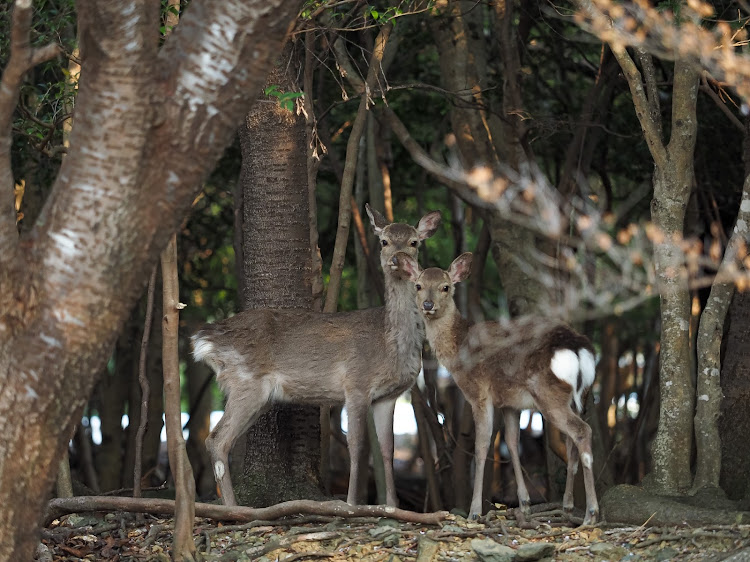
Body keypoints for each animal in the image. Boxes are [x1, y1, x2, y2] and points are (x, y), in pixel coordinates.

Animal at [191, 203, 444, 506]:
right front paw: (351, 503)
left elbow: (387, 449)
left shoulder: (389, 396)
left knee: (220, 439)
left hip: (257, 394)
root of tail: (206, 339)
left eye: (414, 242)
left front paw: (392, 506)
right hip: (245, 381)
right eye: (384, 241)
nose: (397, 258)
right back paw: (234, 508)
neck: (389, 343)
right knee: (217, 439)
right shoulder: (356, 384)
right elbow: (356, 446)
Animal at [396, 252, 604, 524]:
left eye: (446, 287)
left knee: (582, 432)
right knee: (571, 441)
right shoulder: (510, 403)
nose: (428, 305)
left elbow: (481, 445)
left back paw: (591, 513)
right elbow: (512, 444)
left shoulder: (478, 393)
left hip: (549, 394)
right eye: (418, 286)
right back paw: (568, 506)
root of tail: (579, 349)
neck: (458, 351)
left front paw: (474, 511)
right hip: (581, 395)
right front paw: (524, 503)